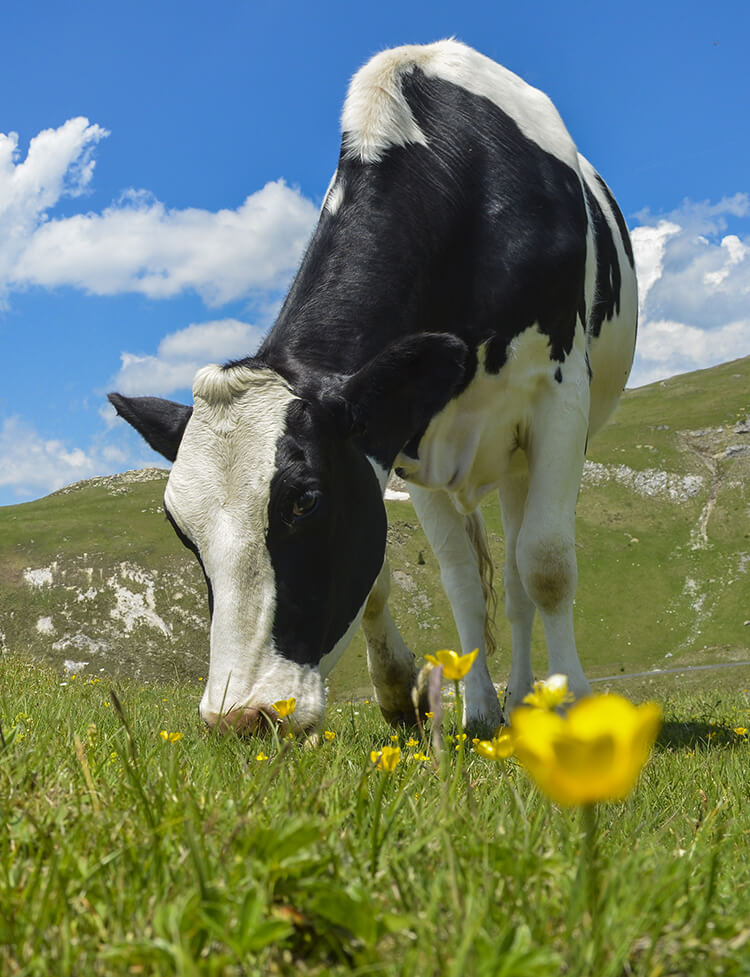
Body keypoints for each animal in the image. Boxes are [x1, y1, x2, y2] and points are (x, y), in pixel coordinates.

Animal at [110, 42, 640, 736]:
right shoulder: (406, 440)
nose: (241, 717)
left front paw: (575, 705)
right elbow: (445, 581)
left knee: (524, 576)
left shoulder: (559, 398)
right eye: (180, 528)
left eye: (305, 500)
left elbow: (548, 565)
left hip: (528, 451)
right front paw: (421, 695)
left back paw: (533, 694)